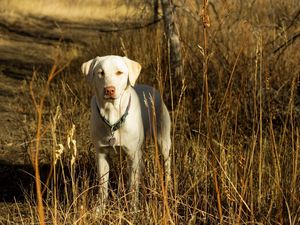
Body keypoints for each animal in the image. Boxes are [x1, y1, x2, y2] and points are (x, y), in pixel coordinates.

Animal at [81, 55, 171, 212]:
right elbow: (103, 186)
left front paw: (133, 210)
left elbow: (132, 187)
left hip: (163, 139)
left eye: (119, 72)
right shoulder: (101, 154)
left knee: (167, 161)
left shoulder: (133, 155)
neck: (112, 116)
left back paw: (169, 184)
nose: (109, 90)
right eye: (100, 72)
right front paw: (100, 209)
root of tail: (153, 89)